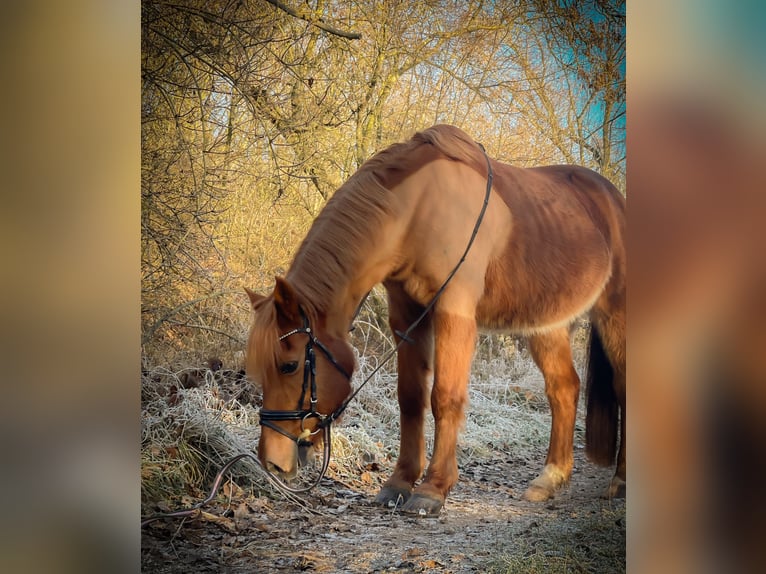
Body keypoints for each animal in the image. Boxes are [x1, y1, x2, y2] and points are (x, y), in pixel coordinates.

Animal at [245, 124, 626, 516]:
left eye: (289, 365)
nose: (272, 462)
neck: (417, 211)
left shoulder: (453, 311)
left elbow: (444, 396)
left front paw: (433, 488)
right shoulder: (406, 315)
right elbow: (411, 398)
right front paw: (399, 483)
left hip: (616, 315)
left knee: (624, 385)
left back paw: (620, 480)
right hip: (546, 327)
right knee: (564, 389)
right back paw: (549, 479)